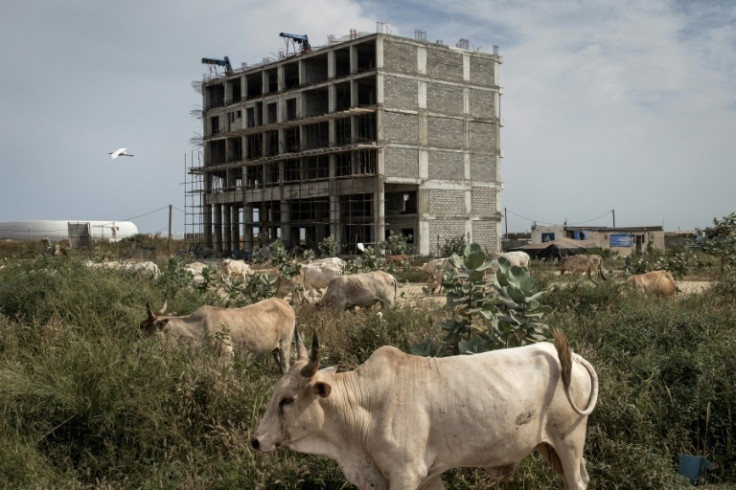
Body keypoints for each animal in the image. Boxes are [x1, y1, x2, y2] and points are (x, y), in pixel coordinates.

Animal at [139, 296, 294, 374]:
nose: (137, 337)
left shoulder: (227, 354)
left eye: (145, 326)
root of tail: (285, 303)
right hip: (275, 350)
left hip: (285, 345)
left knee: (286, 368)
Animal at [252, 330, 600, 490]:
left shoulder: (406, 474)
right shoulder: (428, 476)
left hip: (569, 444)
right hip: (551, 449)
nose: (256, 441)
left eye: (287, 399)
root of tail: (573, 358)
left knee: (577, 481)